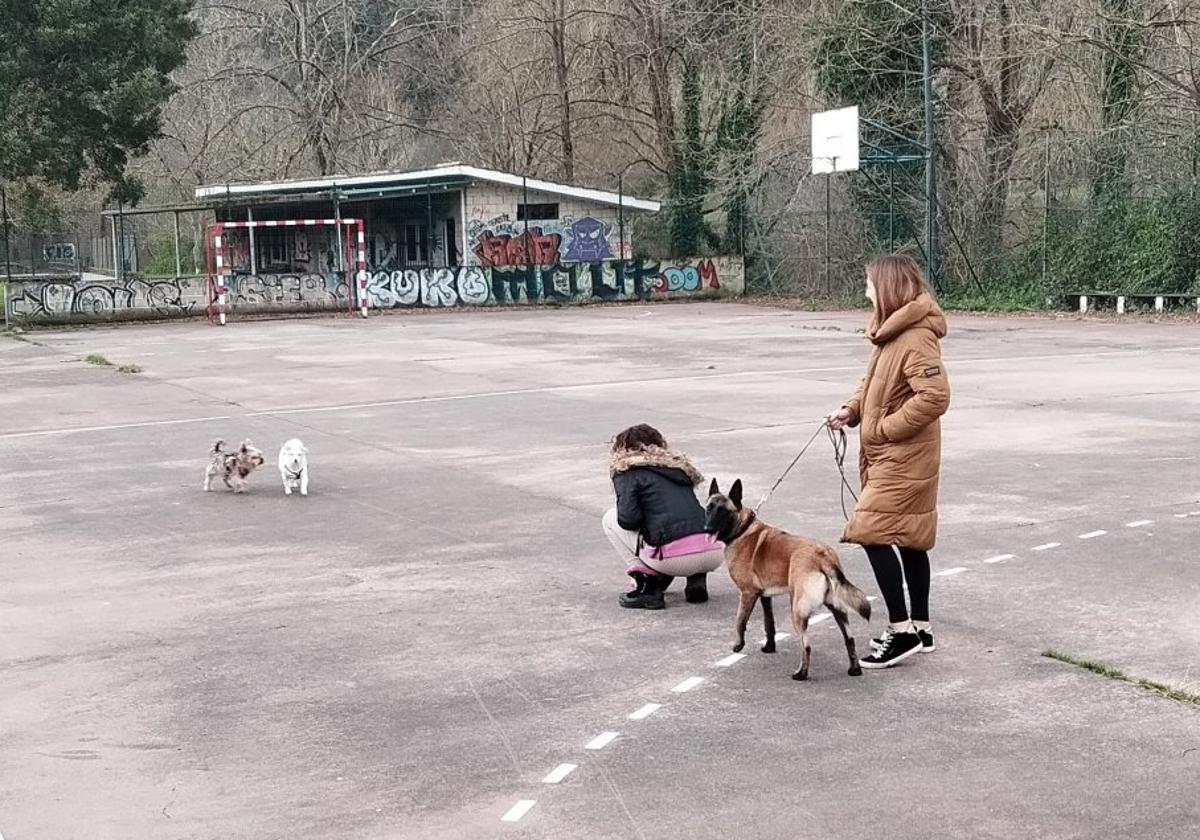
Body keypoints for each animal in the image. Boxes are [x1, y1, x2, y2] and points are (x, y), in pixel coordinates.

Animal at [700, 480, 873, 681]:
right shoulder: (764, 596)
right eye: (709, 508)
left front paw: (738, 645)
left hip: (797, 609)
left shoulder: (747, 593)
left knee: (806, 644)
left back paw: (801, 673)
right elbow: (769, 624)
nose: (707, 529)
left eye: (723, 511)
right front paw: (769, 647)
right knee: (849, 638)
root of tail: (822, 555)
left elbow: (740, 621)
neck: (742, 529)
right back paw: (854, 669)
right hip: (836, 608)